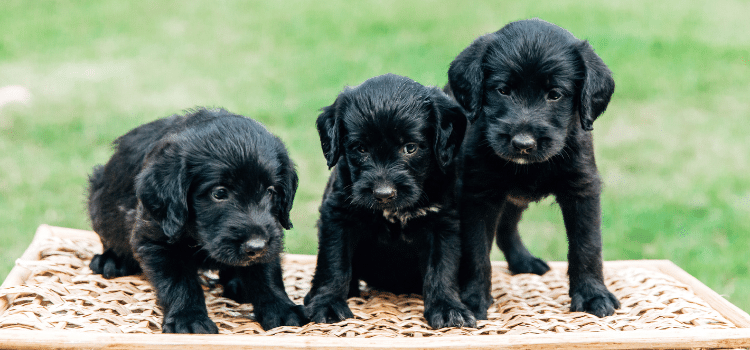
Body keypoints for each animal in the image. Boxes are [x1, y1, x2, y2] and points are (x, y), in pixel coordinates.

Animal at [89, 108, 308, 332]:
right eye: (219, 193)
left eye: (271, 191)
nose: (255, 246)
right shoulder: (155, 239)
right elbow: (179, 282)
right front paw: (188, 318)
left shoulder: (271, 235)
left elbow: (267, 273)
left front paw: (281, 308)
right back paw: (112, 260)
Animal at [302, 73, 472, 328]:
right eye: (360, 148)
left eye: (410, 147)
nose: (383, 194)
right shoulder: (337, 216)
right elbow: (333, 263)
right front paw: (327, 303)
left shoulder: (443, 223)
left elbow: (442, 267)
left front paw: (448, 308)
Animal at [450, 19, 620, 320]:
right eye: (503, 90)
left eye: (555, 95)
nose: (523, 144)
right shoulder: (477, 193)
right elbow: (476, 249)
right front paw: (473, 298)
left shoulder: (582, 189)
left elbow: (587, 245)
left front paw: (593, 294)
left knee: (507, 227)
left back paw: (523, 261)